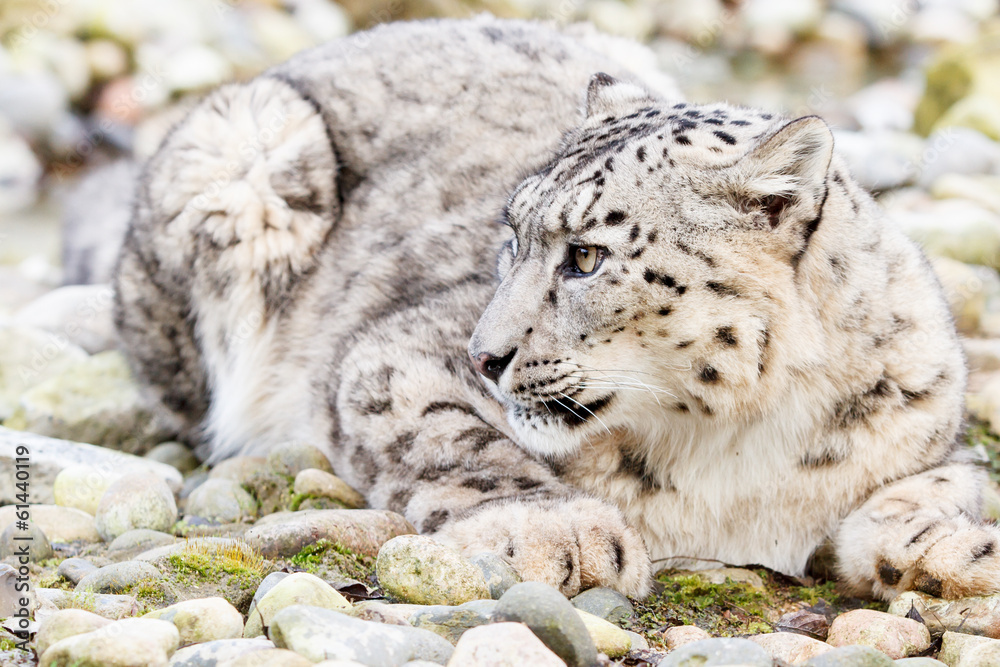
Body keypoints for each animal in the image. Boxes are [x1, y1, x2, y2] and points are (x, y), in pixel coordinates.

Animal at [113, 15, 1000, 602]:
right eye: (510, 235)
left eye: (587, 256)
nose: (483, 355)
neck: (739, 448)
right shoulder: (390, 353)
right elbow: (453, 440)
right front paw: (560, 533)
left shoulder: (928, 427)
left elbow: (927, 493)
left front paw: (961, 551)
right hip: (244, 151)